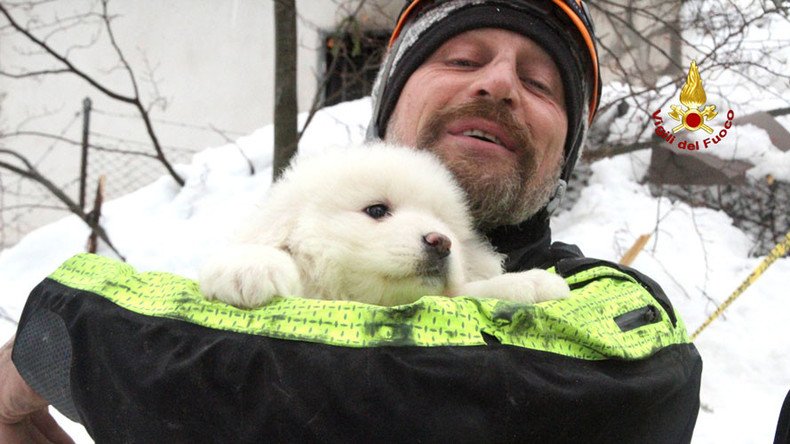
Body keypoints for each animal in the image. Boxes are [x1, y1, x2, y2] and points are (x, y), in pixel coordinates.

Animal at [198, 143, 568, 308]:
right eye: (377, 210)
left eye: (445, 225)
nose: (441, 242)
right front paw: (248, 267)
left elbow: (468, 291)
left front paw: (532, 283)